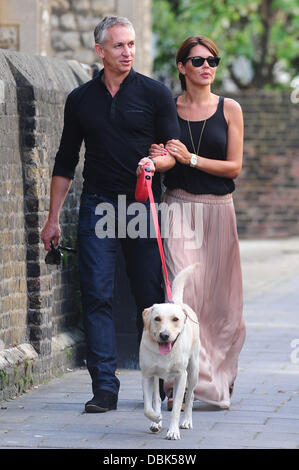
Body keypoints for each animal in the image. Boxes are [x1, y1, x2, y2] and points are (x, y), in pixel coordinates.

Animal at [140, 262, 200, 438]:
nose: (164, 335)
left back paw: (186, 421)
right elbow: (148, 407)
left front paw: (173, 432)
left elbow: (176, 409)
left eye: (175, 319)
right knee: (157, 398)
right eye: (157, 319)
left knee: (190, 396)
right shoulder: (147, 375)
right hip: (156, 377)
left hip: (193, 370)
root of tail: (178, 302)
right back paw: (156, 422)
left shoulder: (181, 376)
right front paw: (155, 418)